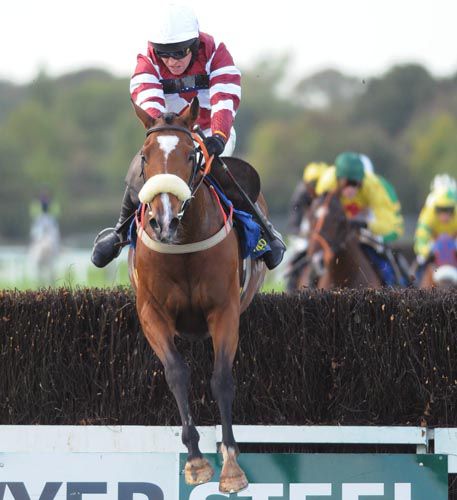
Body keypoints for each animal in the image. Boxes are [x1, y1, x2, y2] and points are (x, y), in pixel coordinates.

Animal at [127, 98, 267, 493]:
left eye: (191, 155)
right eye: (144, 157)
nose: (163, 219)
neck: (183, 243)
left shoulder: (225, 309)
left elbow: (221, 378)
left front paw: (231, 464)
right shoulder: (151, 312)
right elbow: (176, 372)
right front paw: (194, 459)